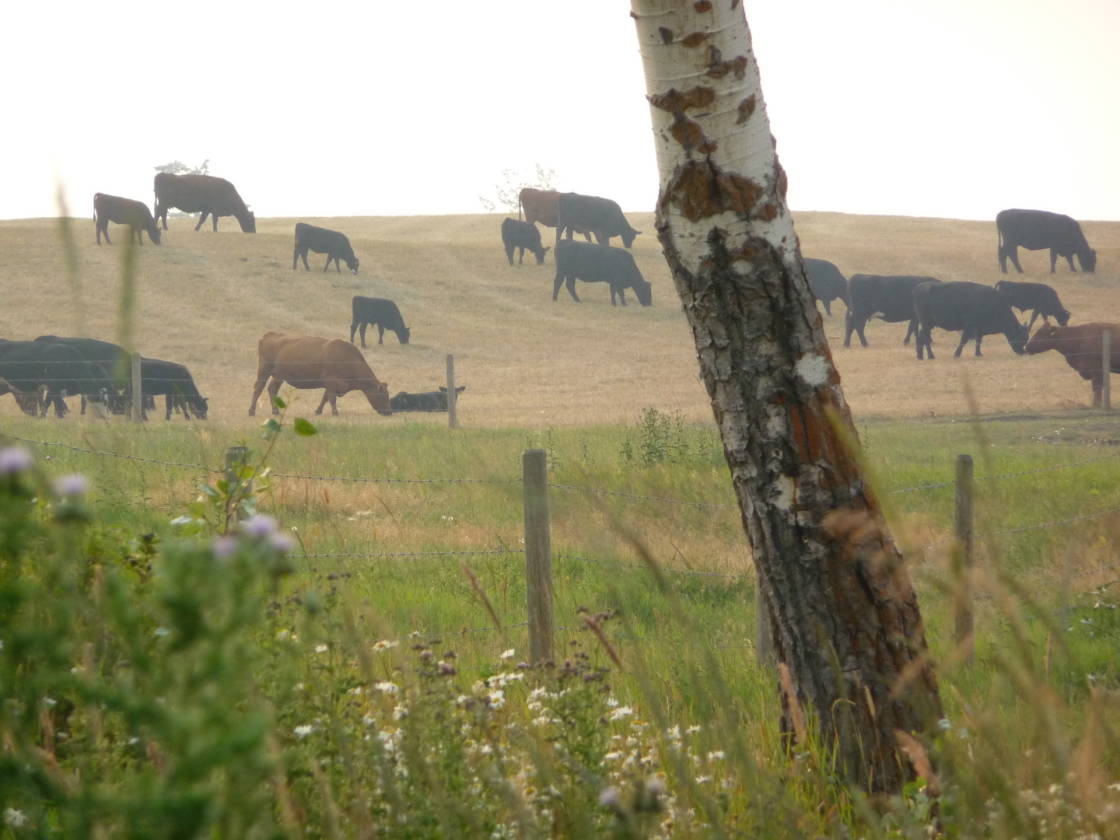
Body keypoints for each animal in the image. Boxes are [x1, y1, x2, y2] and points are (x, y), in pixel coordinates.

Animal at [248, 332, 391, 417]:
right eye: (384, 395)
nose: (389, 412)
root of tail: (270, 335)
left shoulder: (330, 384)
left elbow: (325, 397)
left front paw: (318, 411)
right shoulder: (331, 381)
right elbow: (331, 398)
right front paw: (335, 412)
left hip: (278, 376)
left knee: (272, 389)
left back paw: (275, 411)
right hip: (264, 371)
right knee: (258, 389)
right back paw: (251, 411)